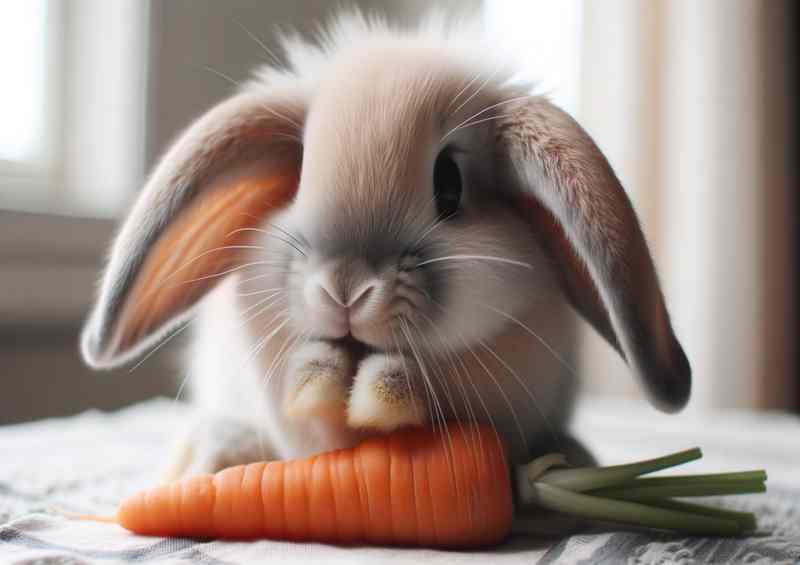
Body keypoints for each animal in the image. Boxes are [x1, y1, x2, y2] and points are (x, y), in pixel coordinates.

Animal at [80, 11, 690, 478]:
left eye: (450, 185)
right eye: (299, 177)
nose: (345, 290)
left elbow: (438, 393)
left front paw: (382, 389)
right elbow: (310, 422)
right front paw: (320, 375)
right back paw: (210, 455)